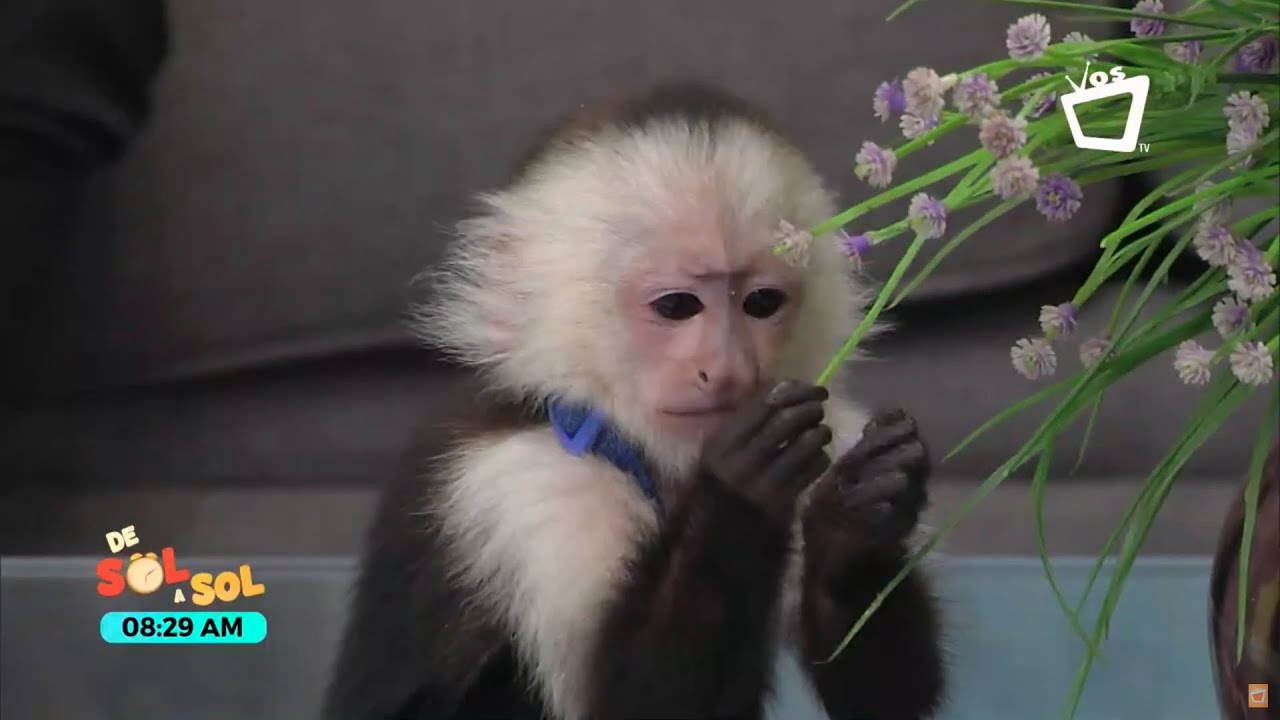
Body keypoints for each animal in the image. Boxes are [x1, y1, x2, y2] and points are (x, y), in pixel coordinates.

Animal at [322, 82, 945, 720]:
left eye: (762, 302)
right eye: (676, 306)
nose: (728, 370)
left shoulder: (833, 421)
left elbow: (889, 698)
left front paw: (858, 513)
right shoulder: (543, 489)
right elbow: (627, 704)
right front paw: (744, 485)